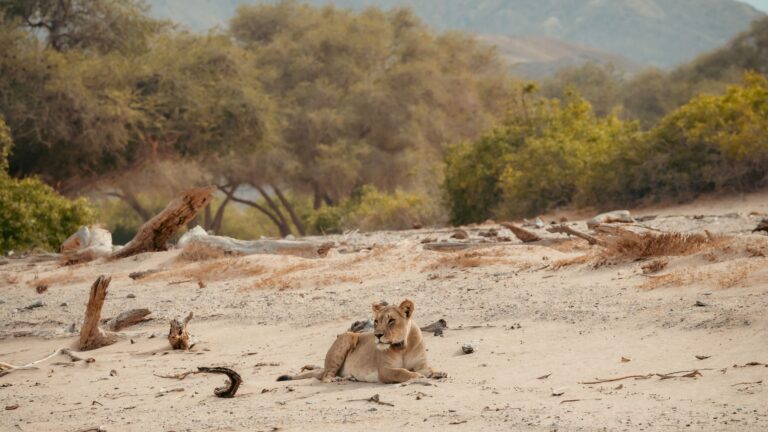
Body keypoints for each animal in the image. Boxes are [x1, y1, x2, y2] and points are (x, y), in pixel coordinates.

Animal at [276, 299, 445, 384]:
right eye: (376, 321)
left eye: (391, 320)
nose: (377, 335)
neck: (403, 346)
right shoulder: (385, 371)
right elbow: (402, 372)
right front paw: (417, 377)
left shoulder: (421, 365)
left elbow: (430, 368)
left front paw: (439, 372)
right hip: (347, 336)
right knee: (325, 377)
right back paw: (337, 379)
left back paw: (350, 377)